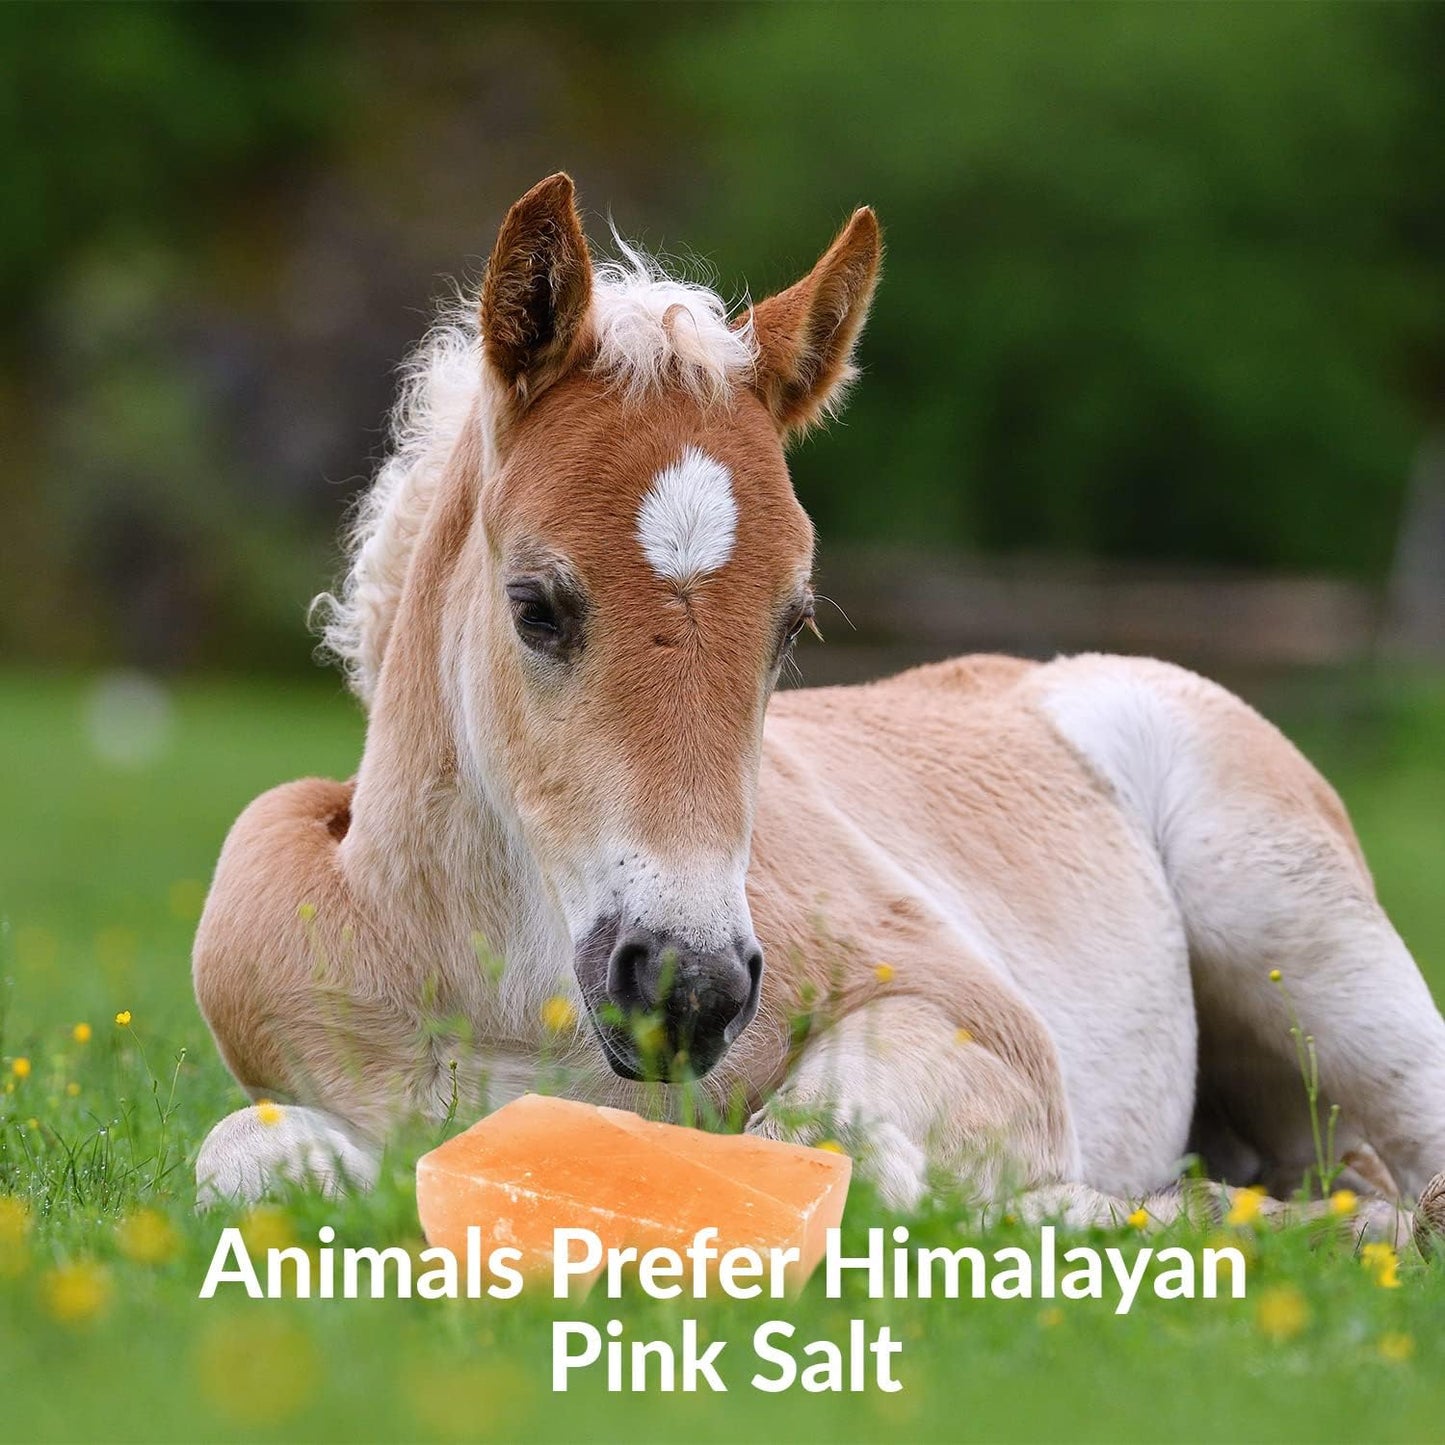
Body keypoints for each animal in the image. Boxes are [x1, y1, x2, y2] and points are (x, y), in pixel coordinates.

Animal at [194, 174, 1445, 1240]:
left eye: (790, 623)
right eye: (534, 605)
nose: (687, 989)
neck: (504, 989)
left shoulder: (969, 1012)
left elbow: (815, 1146)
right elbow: (249, 1159)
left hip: (1307, 946)